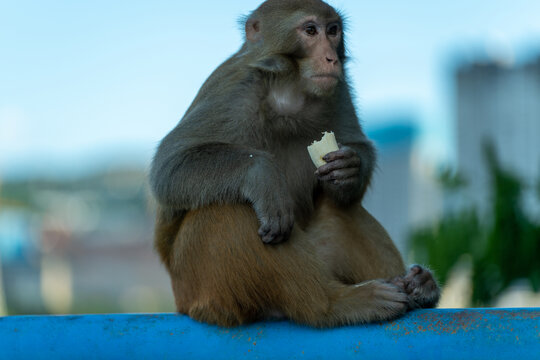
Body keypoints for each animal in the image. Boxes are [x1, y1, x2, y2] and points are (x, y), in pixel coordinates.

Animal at [149, 0, 438, 328]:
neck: (287, 91)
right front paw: (262, 176)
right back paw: (334, 305)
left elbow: (356, 150)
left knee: (339, 209)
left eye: (333, 30)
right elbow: (169, 168)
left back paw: (418, 286)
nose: (330, 57)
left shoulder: (338, 89)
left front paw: (349, 169)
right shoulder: (231, 91)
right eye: (310, 30)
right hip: (202, 290)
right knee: (226, 209)